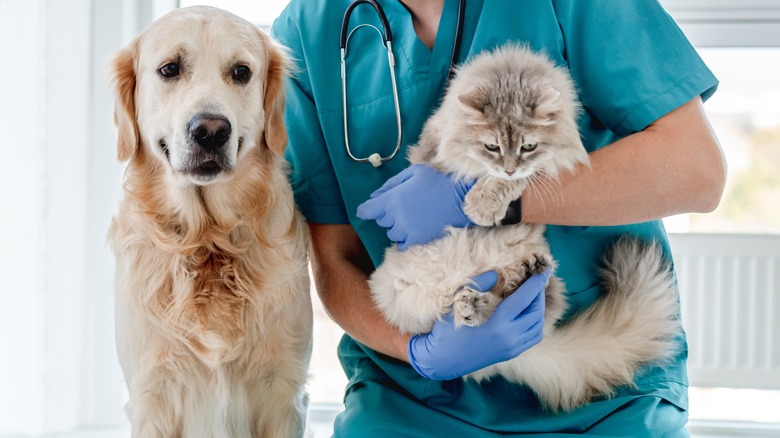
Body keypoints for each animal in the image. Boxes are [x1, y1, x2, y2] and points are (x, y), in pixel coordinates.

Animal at [107, 6, 314, 438]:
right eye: (169, 69)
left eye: (241, 72)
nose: (211, 131)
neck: (208, 239)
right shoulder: (153, 393)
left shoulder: (283, 392)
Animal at [368, 46, 680, 412]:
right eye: (492, 147)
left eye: (528, 147)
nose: (509, 168)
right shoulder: (437, 150)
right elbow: (471, 168)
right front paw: (478, 197)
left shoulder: (545, 162)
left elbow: (521, 179)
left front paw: (483, 203)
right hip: (405, 295)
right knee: (459, 316)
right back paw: (472, 310)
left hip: (535, 279)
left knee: (508, 298)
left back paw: (515, 278)